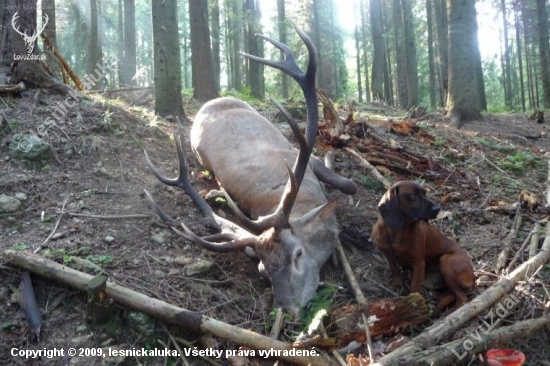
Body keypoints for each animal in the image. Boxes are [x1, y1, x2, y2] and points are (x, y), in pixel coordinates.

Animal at [374, 182, 476, 316]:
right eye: (412, 195)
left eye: (425, 193)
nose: (437, 209)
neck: (398, 232)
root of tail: (474, 278)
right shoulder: (386, 253)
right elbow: (394, 268)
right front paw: (397, 284)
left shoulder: (418, 264)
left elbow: (414, 288)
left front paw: (412, 306)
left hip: (446, 260)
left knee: (462, 299)